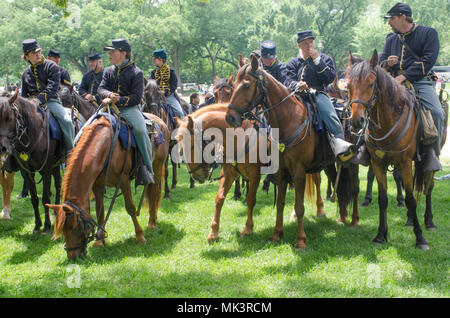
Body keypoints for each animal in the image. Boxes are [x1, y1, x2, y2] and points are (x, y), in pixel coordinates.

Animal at [0, 94, 63, 234]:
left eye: (9, 118)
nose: (2, 148)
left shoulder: (46, 170)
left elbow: (45, 198)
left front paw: (46, 226)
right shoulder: (27, 172)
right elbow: (34, 199)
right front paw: (37, 225)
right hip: (55, 166)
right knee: (58, 183)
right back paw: (55, 212)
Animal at [47, 113, 170, 260]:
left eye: (74, 227)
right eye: (63, 229)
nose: (72, 256)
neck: (105, 147)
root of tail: (160, 120)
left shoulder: (124, 181)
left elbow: (130, 208)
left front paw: (140, 236)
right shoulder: (97, 186)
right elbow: (100, 211)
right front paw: (100, 241)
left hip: (157, 166)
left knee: (154, 193)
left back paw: (152, 222)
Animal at [225, 56, 356, 251]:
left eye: (247, 85)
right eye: (233, 85)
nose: (230, 117)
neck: (287, 121)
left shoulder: (299, 172)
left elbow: (299, 206)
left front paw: (301, 239)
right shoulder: (280, 172)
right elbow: (280, 203)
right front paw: (276, 234)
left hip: (352, 163)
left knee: (353, 188)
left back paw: (353, 219)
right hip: (329, 164)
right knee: (337, 183)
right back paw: (342, 215)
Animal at [344, 49, 446, 250]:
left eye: (371, 83)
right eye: (348, 86)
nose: (356, 121)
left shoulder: (405, 163)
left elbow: (411, 199)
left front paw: (420, 238)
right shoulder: (378, 163)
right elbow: (383, 199)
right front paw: (380, 235)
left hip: (429, 162)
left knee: (428, 187)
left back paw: (429, 221)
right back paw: (409, 220)